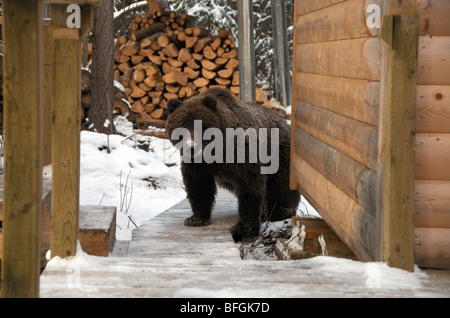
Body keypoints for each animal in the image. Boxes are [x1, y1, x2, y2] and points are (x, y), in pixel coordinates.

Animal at [165, 87, 298, 241]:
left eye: (200, 126)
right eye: (182, 126)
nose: (190, 147)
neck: (215, 150)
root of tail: (285, 122)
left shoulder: (241, 155)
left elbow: (250, 185)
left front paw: (247, 227)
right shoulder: (198, 163)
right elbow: (198, 184)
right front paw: (196, 219)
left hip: (280, 156)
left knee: (281, 189)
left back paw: (280, 214)